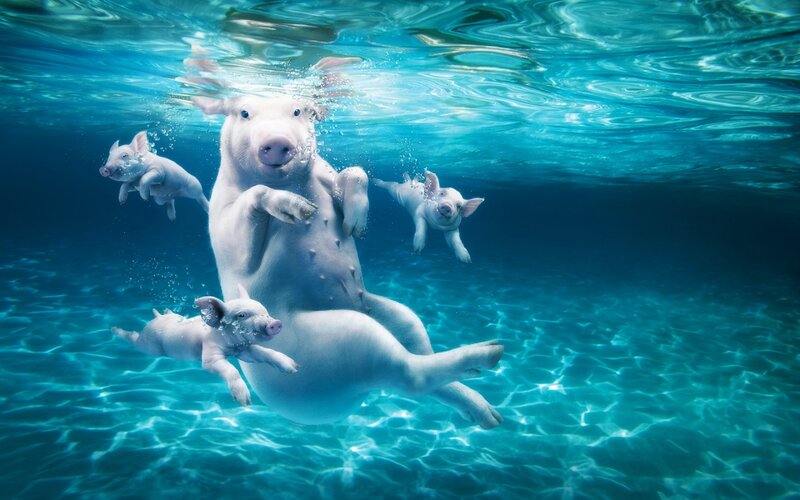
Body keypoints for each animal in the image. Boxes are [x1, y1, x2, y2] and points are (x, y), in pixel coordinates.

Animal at [112, 284, 296, 406]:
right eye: (241, 315)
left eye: (266, 312)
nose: (275, 323)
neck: (231, 345)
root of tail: (155, 319)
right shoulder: (209, 355)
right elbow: (231, 369)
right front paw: (244, 402)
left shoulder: (243, 350)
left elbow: (264, 353)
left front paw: (294, 367)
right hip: (148, 345)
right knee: (134, 338)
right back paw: (115, 329)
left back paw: (165, 310)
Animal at [193, 93, 504, 428]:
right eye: (244, 113)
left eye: (297, 111)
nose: (276, 140)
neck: (290, 182)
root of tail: (350, 400)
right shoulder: (221, 219)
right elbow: (243, 224)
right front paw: (301, 209)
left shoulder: (327, 174)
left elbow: (355, 171)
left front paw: (354, 226)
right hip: (334, 341)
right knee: (409, 373)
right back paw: (492, 353)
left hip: (390, 314)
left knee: (418, 348)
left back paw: (489, 412)